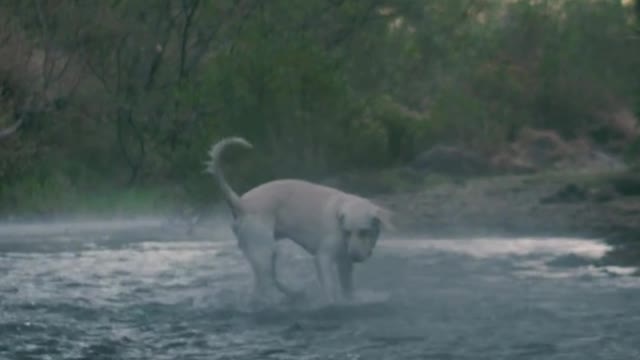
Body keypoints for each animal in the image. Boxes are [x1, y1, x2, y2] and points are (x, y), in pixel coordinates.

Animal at [206, 136, 396, 306]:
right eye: (347, 232)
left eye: (364, 232)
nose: (355, 256)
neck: (341, 214)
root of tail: (241, 203)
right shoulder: (323, 257)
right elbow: (330, 287)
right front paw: (332, 304)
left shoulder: (344, 263)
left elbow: (348, 289)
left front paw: (350, 301)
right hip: (262, 249)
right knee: (264, 285)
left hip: (266, 252)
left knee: (270, 279)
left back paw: (295, 294)